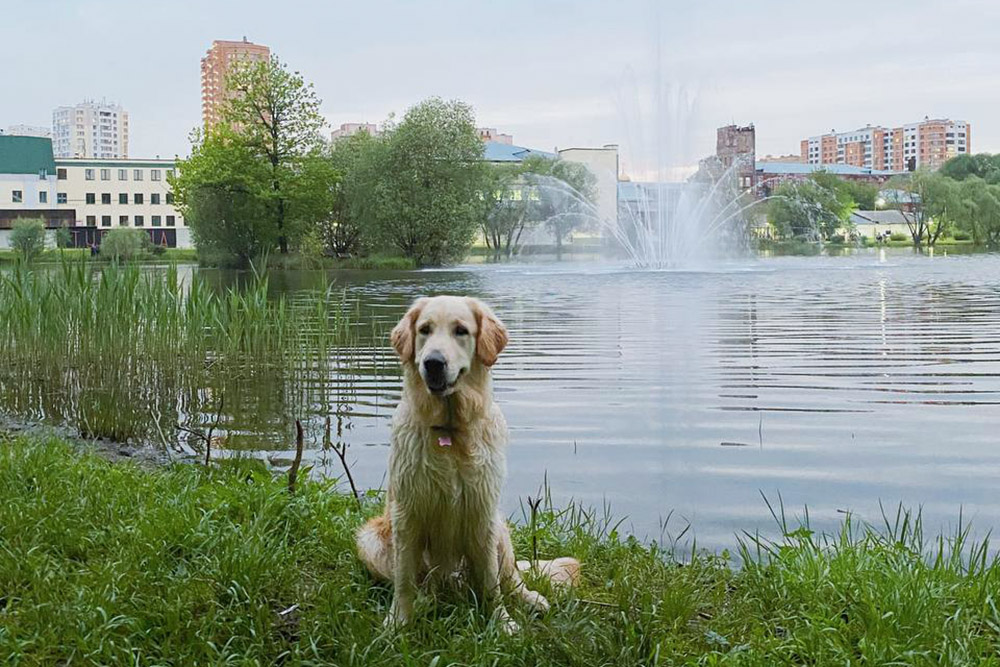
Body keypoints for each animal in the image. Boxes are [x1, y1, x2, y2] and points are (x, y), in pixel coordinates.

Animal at [358, 296, 580, 632]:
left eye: (461, 331)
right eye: (424, 330)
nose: (433, 363)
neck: (450, 431)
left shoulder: (482, 511)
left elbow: (491, 581)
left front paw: (501, 622)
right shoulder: (407, 514)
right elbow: (404, 579)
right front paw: (398, 622)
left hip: (499, 527)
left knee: (511, 575)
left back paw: (531, 599)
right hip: (371, 540)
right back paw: (426, 601)